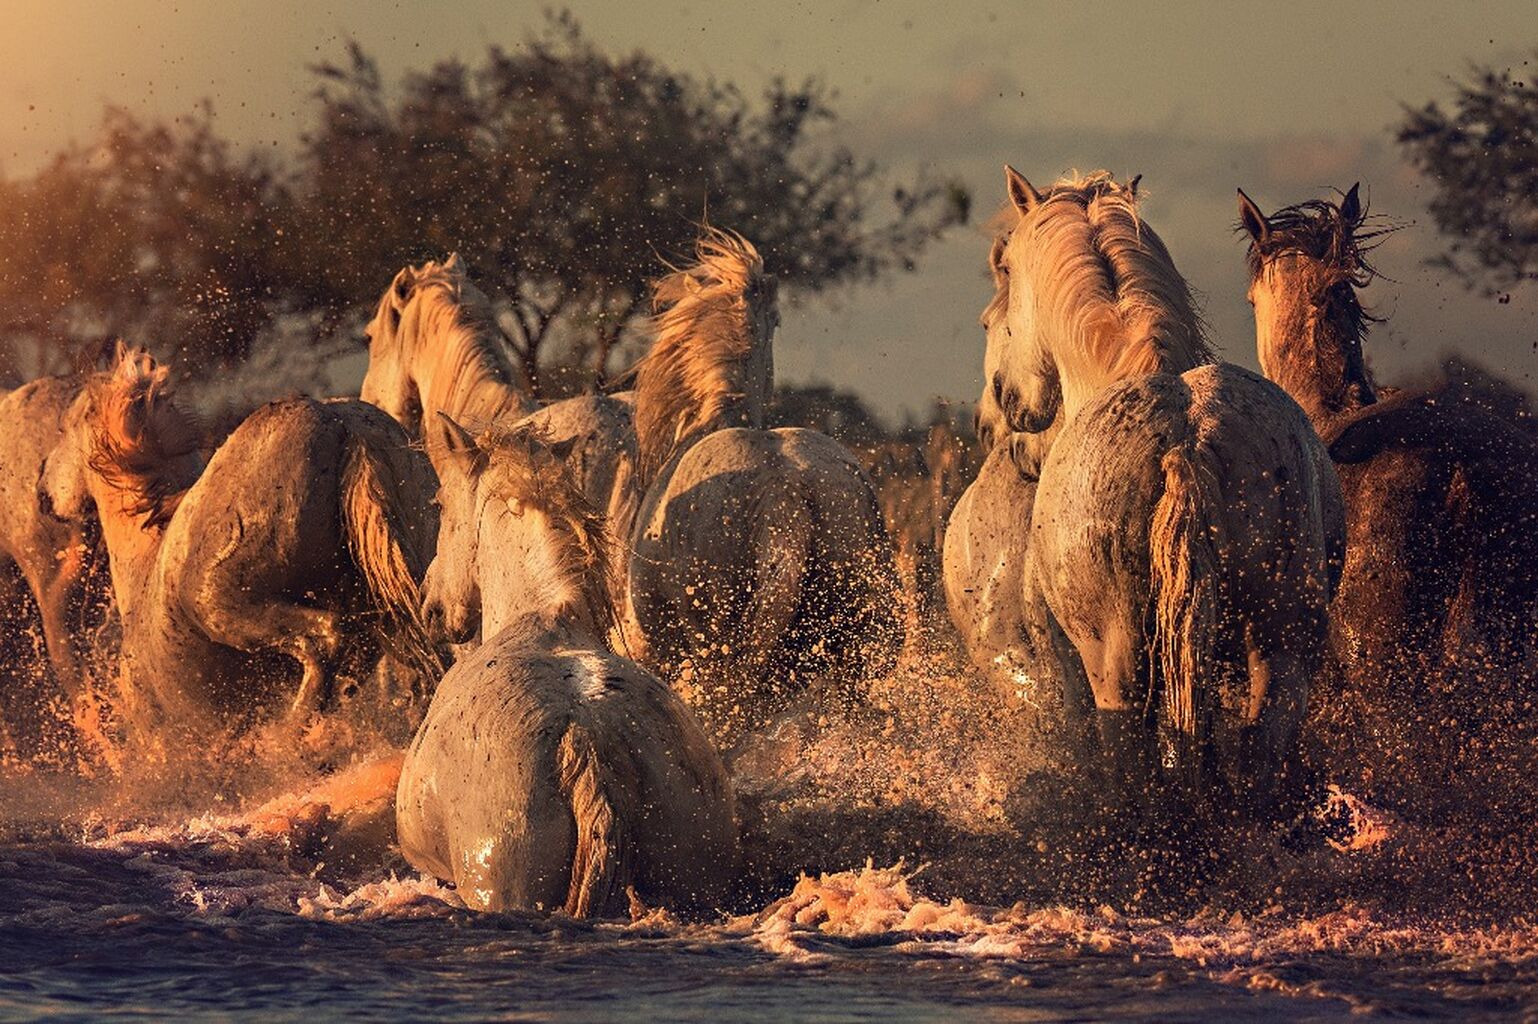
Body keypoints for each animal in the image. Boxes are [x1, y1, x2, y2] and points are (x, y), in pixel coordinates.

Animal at [42, 346, 440, 750]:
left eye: (64, 429)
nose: (43, 492)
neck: (144, 568)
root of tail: (343, 424)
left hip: (225, 607)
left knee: (325, 640)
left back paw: (288, 744)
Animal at [989, 169, 1344, 816]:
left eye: (1007, 272)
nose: (1005, 400)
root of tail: (1189, 439)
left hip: (1117, 671)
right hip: (1283, 644)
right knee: (1262, 748)